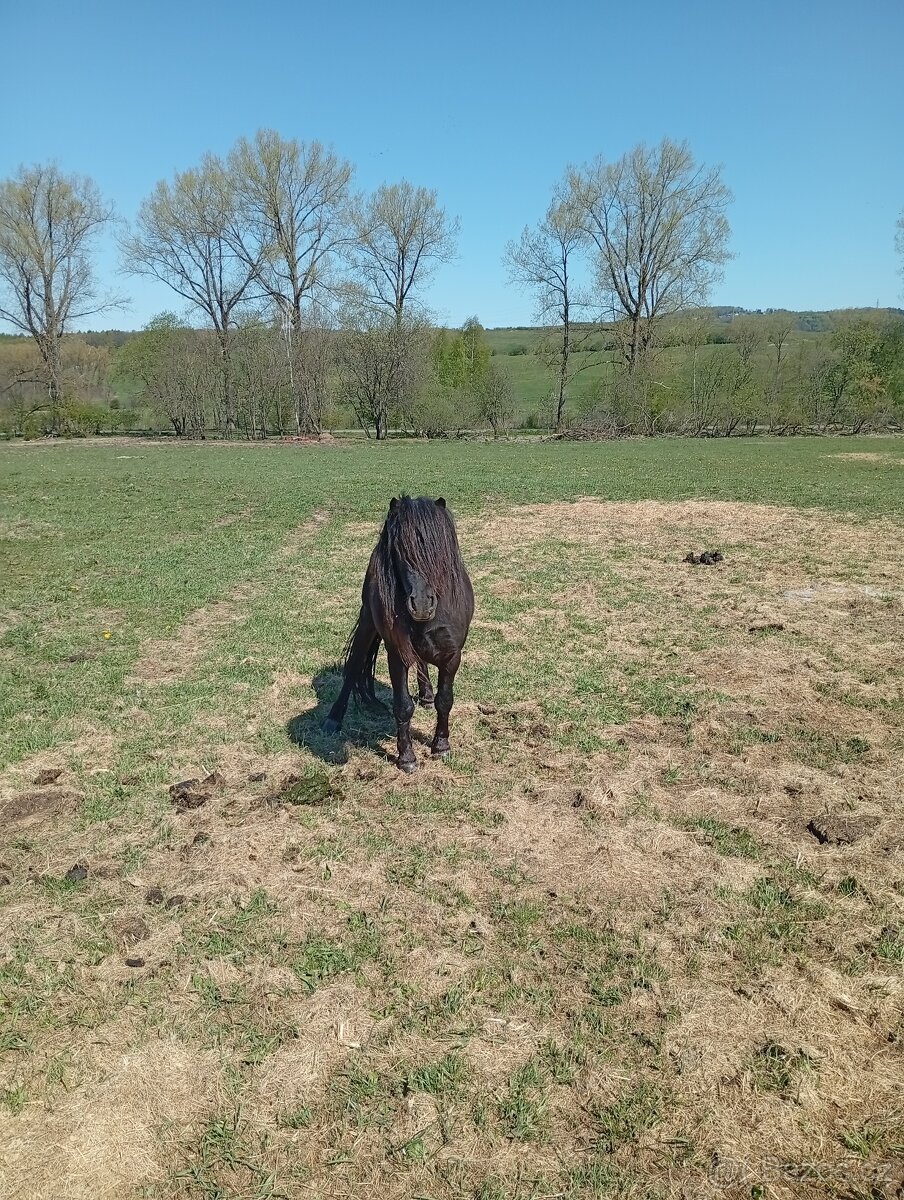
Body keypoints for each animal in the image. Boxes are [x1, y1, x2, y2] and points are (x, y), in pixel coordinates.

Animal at [323, 495, 474, 772]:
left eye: (437, 551)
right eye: (399, 551)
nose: (422, 604)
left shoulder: (452, 655)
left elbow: (445, 699)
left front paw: (441, 745)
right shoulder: (397, 655)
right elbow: (403, 706)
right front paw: (407, 758)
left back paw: (426, 696)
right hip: (367, 622)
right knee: (353, 667)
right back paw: (333, 719)